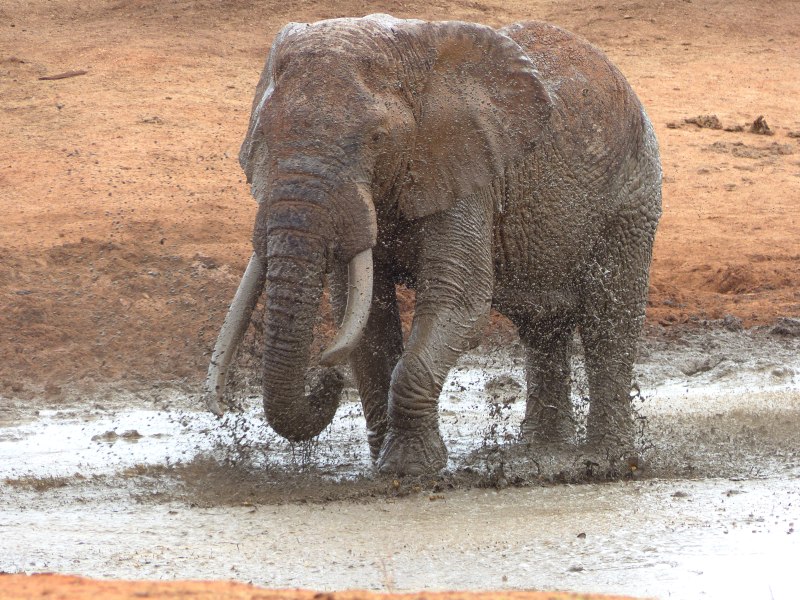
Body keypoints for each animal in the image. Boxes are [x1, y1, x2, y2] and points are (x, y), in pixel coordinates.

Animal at [204, 14, 661, 476]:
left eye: (376, 138)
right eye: (262, 136)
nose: (326, 377)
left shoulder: (467, 168)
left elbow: (457, 299)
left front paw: (410, 469)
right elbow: (364, 316)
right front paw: (382, 464)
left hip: (632, 198)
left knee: (609, 322)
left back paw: (605, 460)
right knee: (542, 326)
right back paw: (541, 452)